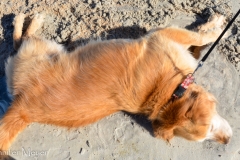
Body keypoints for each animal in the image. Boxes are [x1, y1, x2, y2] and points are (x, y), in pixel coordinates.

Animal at [0, 12, 232, 152]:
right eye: (210, 128)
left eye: (209, 136)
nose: (228, 141)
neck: (169, 93)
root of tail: (23, 108)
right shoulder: (167, 34)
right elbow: (201, 37)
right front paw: (219, 27)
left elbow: (199, 39)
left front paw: (214, 27)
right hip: (42, 48)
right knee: (20, 40)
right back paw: (28, 21)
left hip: (42, 51)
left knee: (19, 42)